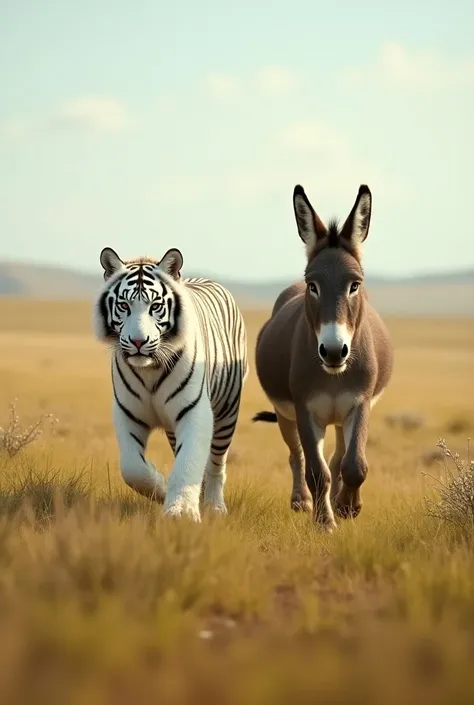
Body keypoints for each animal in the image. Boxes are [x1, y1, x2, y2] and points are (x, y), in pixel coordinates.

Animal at [93, 245, 248, 520]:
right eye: (123, 305)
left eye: (155, 306)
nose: (138, 342)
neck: (149, 371)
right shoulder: (127, 413)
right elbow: (133, 468)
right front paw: (162, 489)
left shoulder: (195, 412)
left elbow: (188, 463)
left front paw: (181, 514)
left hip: (227, 413)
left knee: (216, 464)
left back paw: (215, 506)